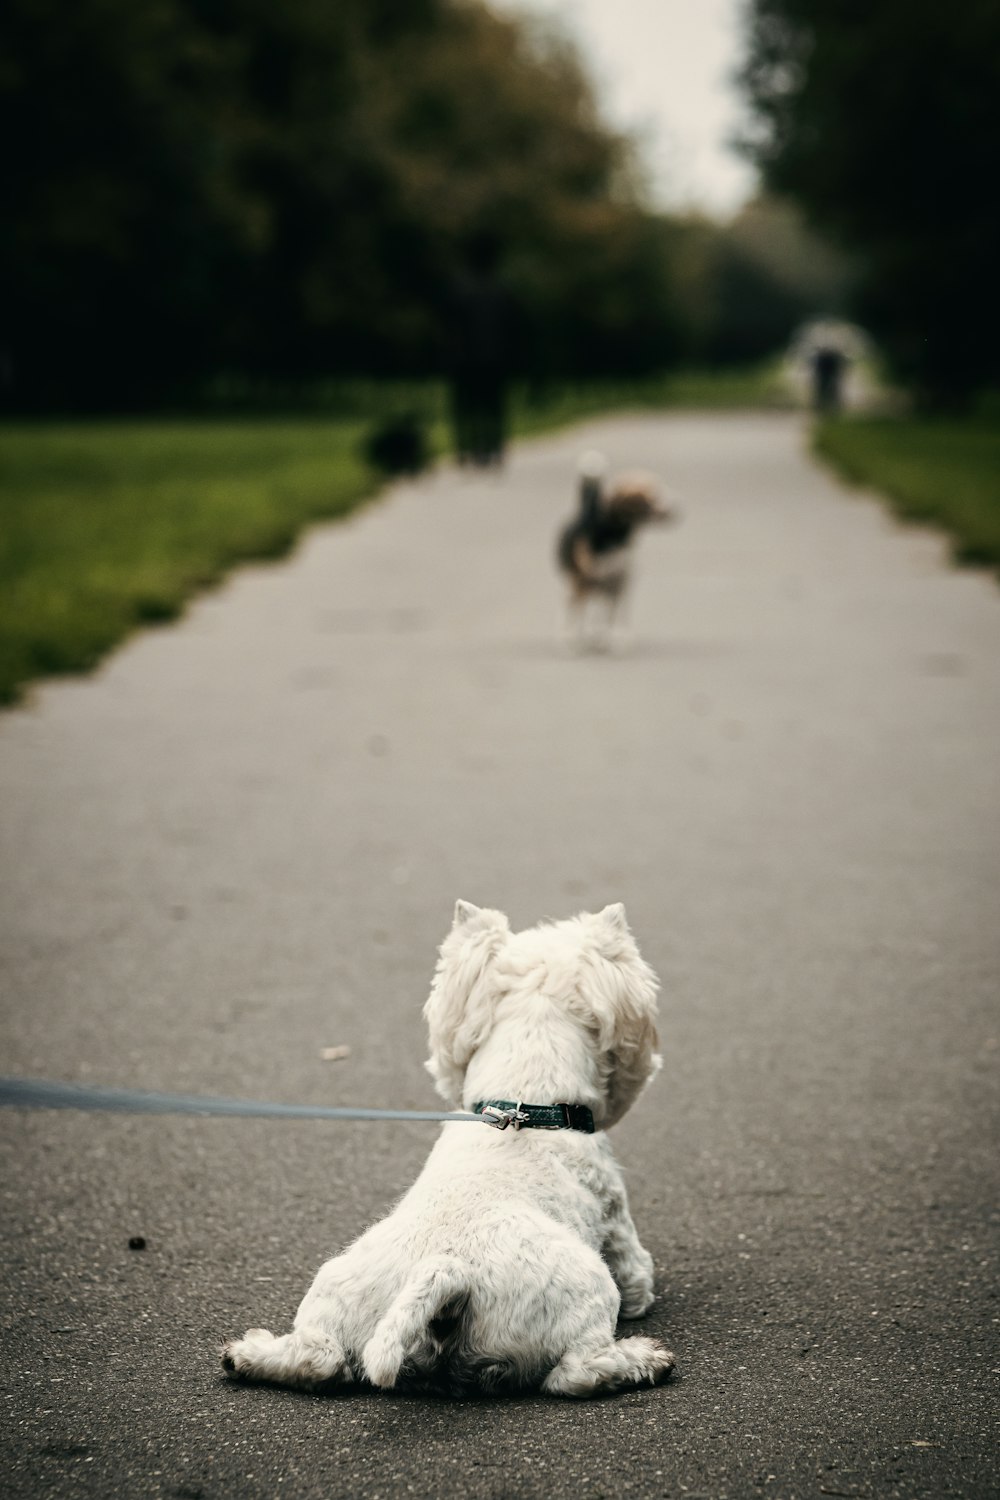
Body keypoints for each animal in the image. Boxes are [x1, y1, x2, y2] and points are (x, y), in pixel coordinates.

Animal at [223, 894, 677, 1398]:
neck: (526, 1098)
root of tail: (449, 1272)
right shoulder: (616, 1216)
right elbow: (636, 1271)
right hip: (587, 1293)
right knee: (575, 1371)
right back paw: (644, 1359)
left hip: (335, 1295)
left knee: (316, 1358)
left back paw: (246, 1353)